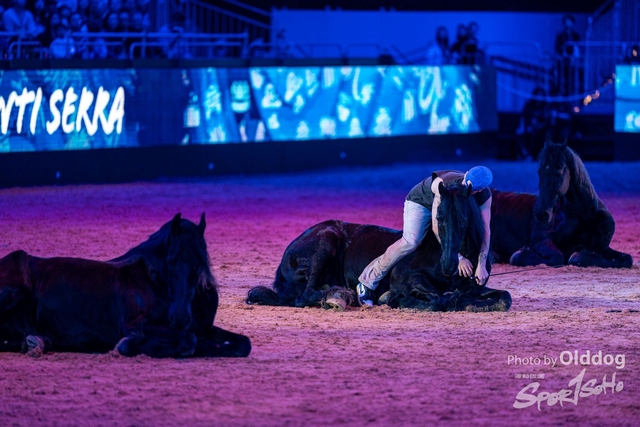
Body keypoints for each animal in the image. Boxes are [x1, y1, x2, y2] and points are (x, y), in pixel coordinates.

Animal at [0, 213, 251, 358]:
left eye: (199, 262)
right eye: (170, 261)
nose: (179, 318)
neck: (157, 282)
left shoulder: (202, 328)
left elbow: (242, 344)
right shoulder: (138, 325)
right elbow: (189, 341)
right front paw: (127, 345)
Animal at [247, 182, 512, 312]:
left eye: (465, 220)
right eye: (439, 217)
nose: (449, 264)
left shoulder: (472, 287)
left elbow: (504, 298)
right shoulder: (405, 277)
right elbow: (437, 299)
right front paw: (391, 298)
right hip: (325, 244)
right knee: (305, 295)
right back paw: (341, 296)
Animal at [490, 140, 633, 269]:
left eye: (558, 172)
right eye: (539, 172)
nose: (541, 213)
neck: (584, 215)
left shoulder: (601, 248)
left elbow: (627, 259)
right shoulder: (541, 240)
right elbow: (557, 257)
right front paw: (522, 253)